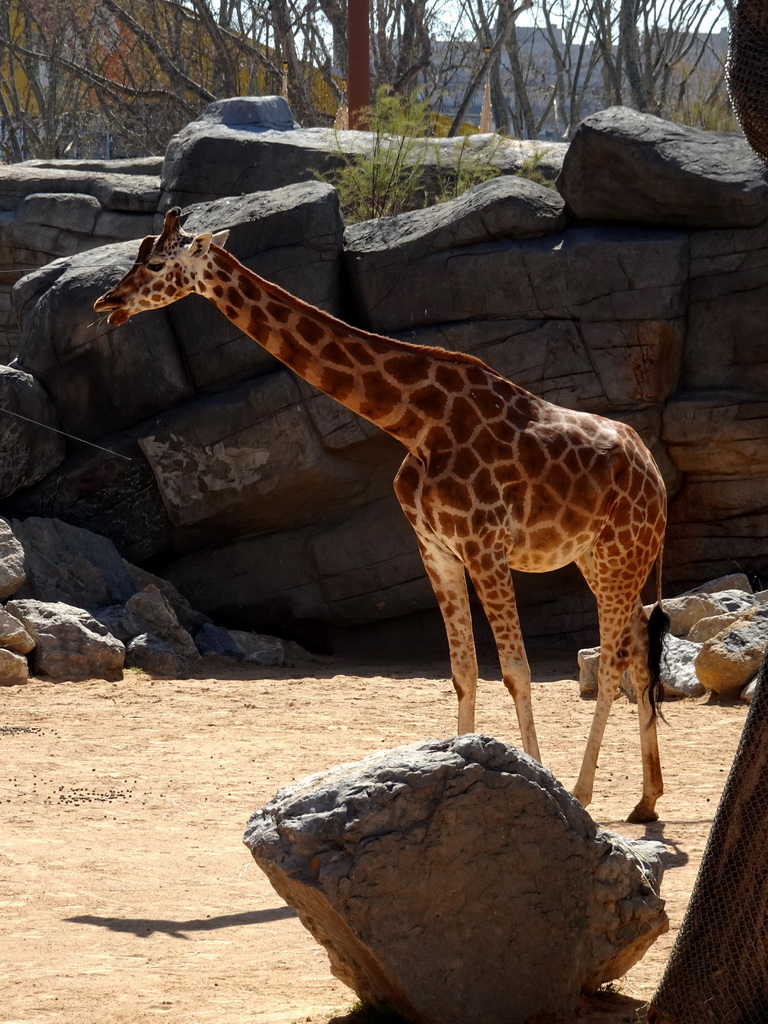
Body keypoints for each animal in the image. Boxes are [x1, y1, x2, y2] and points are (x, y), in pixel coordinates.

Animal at [96, 207, 671, 823]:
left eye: (157, 264)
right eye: (136, 256)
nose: (108, 302)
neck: (416, 422)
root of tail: (656, 476)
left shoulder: (485, 546)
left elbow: (516, 671)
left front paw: (541, 784)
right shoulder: (435, 548)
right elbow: (463, 671)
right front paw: (457, 770)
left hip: (621, 552)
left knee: (612, 665)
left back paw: (584, 794)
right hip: (603, 559)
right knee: (639, 651)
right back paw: (646, 801)